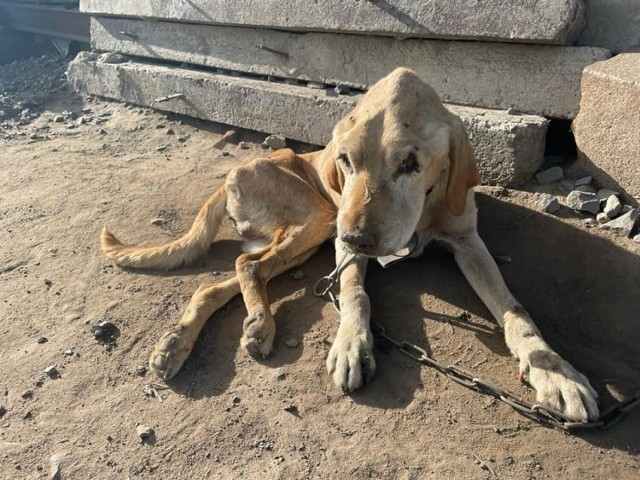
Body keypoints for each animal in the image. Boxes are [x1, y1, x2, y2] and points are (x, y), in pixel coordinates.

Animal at [101, 68, 600, 424]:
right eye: (345, 160)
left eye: (410, 164)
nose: (357, 237)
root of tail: (230, 177)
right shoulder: (345, 247)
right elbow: (355, 293)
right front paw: (351, 343)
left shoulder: (467, 240)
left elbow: (514, 309)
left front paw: (554, 371)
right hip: (319, 222)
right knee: (247, 264)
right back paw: (253, 326)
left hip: (312, 234)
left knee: (228, 277)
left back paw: (180, 343)